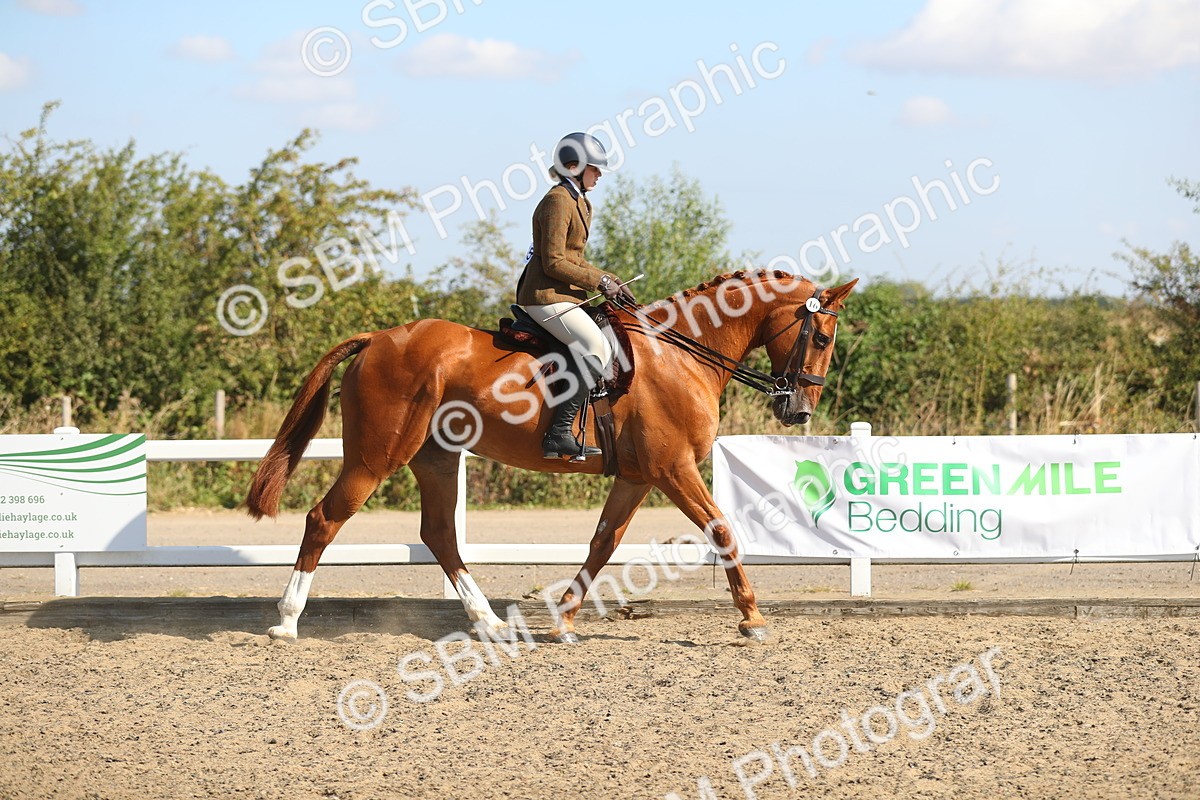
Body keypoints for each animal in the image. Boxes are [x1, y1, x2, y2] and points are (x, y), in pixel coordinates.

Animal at [246, 269, 857, 643]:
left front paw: (563, 620)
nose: (798, 411)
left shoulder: (638, 477)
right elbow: (723, 529)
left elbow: (603, 543)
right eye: (821, 338)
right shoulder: (673, 469)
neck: (680, 355)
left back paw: (489, 623)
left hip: (436, 458)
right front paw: (752, 618)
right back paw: (286, 622)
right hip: (376, 458)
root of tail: (376, 338)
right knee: (324, 519)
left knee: (440, 534)